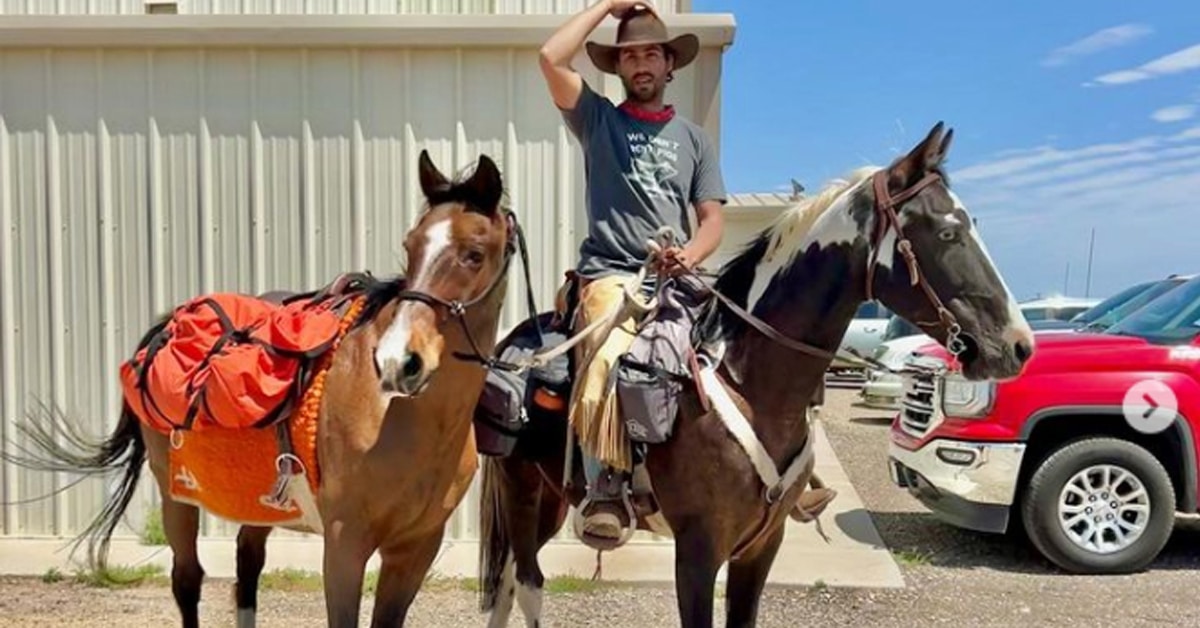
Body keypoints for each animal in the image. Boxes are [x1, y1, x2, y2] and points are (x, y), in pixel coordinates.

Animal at [5, 150, 520, 624]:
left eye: (474, 253)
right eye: (411, 246)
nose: (398, 362)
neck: (402, 419)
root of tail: (165, 326)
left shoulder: (414, 550)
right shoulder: (345, 543)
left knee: (246, 567)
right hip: (175, 496)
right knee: (187, 579)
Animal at [472, 120, 1036, 624]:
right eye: (948, 231)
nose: (1017, 346)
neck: (752, 387)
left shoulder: (762, 546)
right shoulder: (698, 553)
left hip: (550, 495)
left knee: (507, 582)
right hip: (521, 489)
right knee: (528, 583)